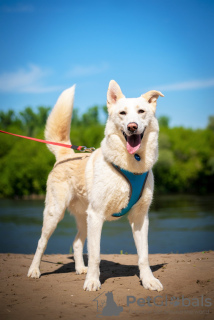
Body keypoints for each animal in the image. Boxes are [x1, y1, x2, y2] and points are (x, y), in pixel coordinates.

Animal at [27, 80, 164, 292]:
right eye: (122, 113)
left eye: (141, 111)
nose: (132, 127)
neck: (131, 164)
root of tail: (65, 155)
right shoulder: (97, 215)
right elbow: (95, 255)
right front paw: (92, 281)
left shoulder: (140, 218)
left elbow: (143, 255)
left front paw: (149, 280)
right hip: (55, 213)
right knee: (41, 242)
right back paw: (34, 270)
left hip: (84, 218)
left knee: (76, 242)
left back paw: (79, 269)